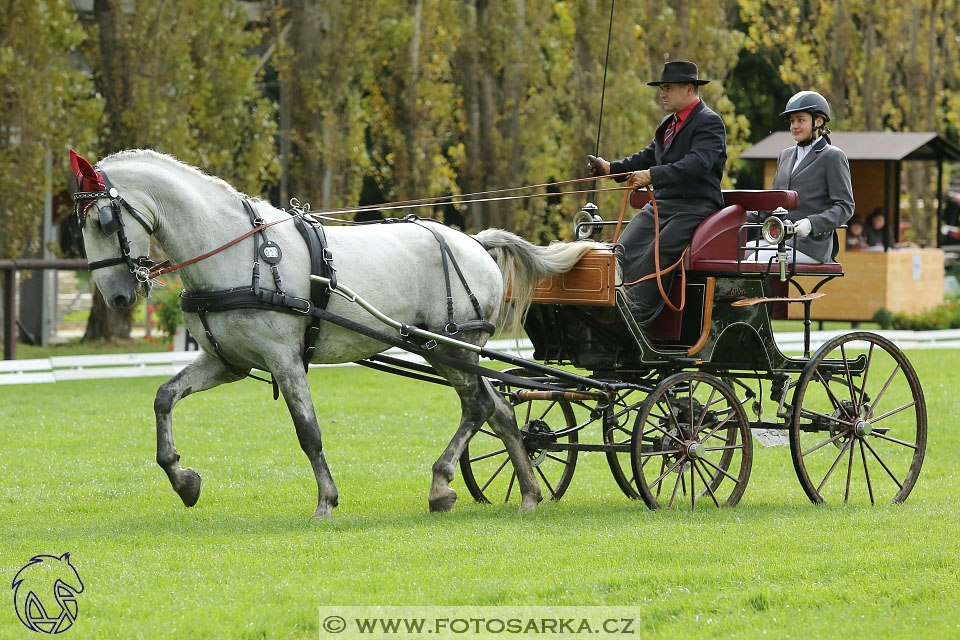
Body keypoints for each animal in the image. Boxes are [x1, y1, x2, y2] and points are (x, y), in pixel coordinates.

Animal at [71, 150, 604, 520]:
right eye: (82, 223)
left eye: (104, 220)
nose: (117, 297)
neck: (237, 253)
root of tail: (473, 240)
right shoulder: (229, 362)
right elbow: (164, 397)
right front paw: (184, 481)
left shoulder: (284, 359)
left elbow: (308, 431)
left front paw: (326, 500)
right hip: (443, 350)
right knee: (501, 410)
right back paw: (529, 493)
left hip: (455, 347)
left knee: (476, 407)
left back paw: (442, 485)